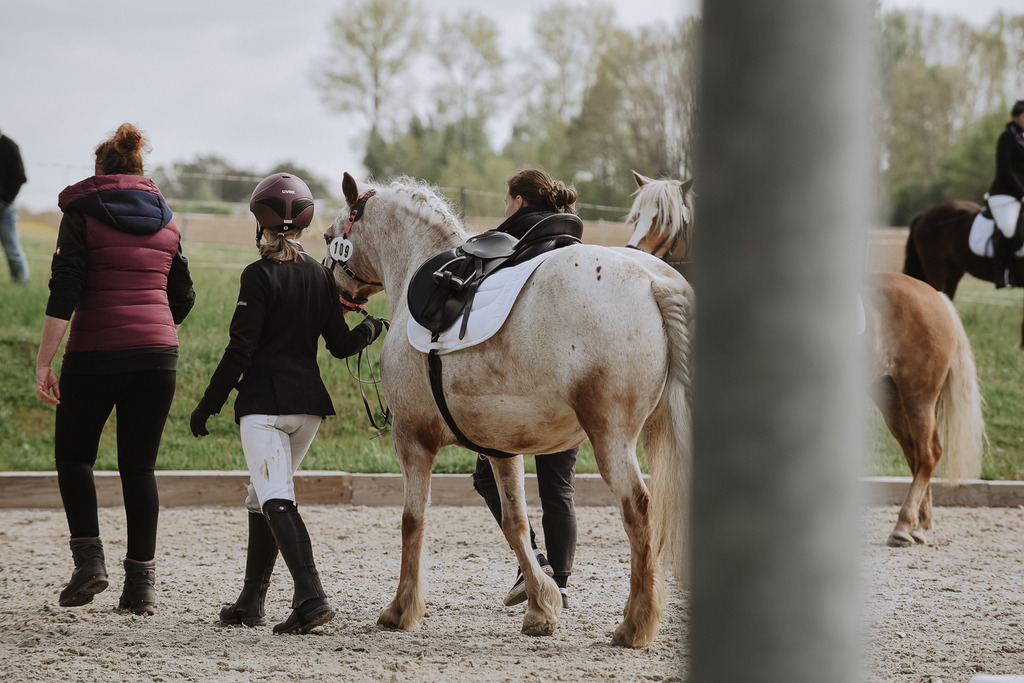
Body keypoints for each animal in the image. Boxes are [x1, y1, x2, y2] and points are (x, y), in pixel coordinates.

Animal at [322, 173, 694, 648]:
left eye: (330, 236)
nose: (335, 292)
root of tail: (653, 280)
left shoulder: (411, 438)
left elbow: (412, 520)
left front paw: (401, 609)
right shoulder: (502, 448)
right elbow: (515, 522)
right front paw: (541, 606)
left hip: (612, 438)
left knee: (639, 510)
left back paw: (636, 622)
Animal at [625, 174, 985, 547]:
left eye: (666, 220)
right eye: (636, 217)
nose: (633, 254)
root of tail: (935, 296)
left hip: (919, 393)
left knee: (928, 453)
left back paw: (903, 525)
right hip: (891, 396)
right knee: (917, 452)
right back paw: (919, 524)